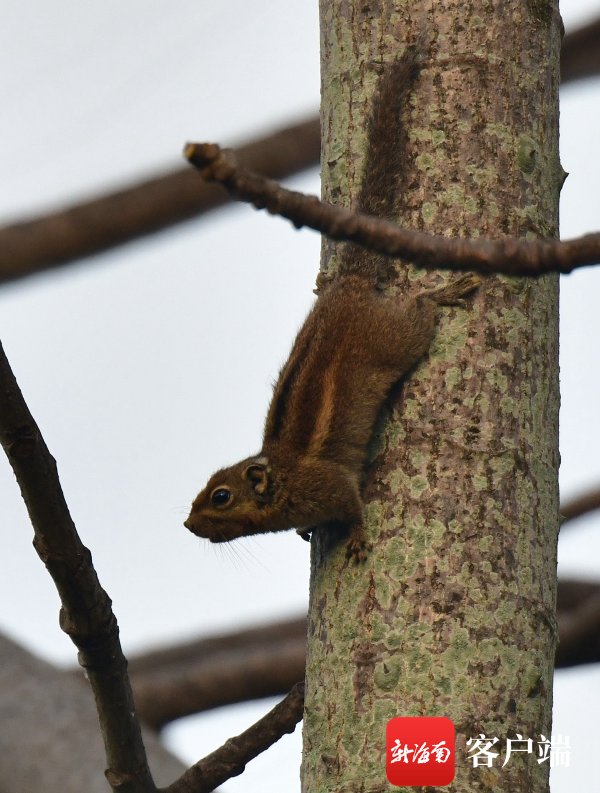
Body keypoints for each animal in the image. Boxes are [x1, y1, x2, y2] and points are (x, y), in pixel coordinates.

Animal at [184, 44, 480, 563]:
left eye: (220, 496)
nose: (186, 523)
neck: (284, 477)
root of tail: (352, 286)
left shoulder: (331, 484)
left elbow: (354, 505)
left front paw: (358, 537)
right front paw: (307, 531)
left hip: (396, 340)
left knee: (420, 309)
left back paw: (442, 293)